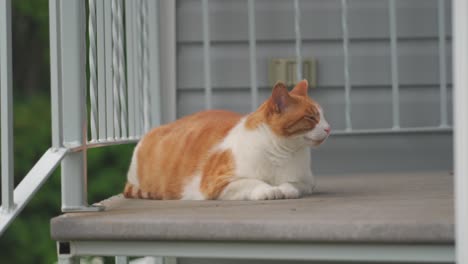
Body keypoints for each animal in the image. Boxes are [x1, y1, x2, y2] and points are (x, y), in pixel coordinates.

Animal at [123, 80, 330, 200]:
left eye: (323, 116)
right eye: (311, 118)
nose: (329, 128)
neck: (282, 152)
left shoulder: (307, 182)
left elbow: (294, 184)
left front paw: (286, 189)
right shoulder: (217, 183)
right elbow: (251, 181)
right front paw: (269, 190)